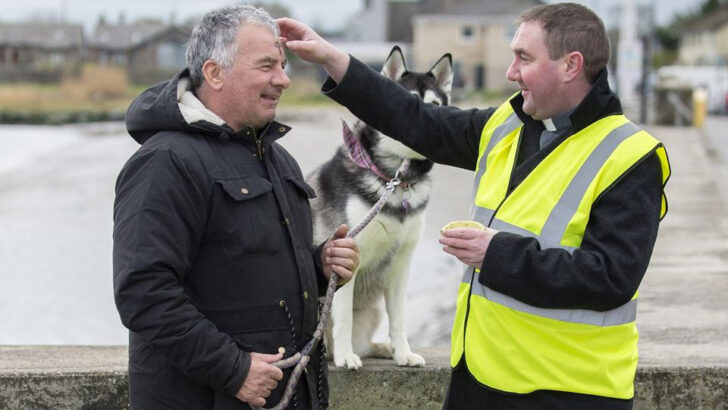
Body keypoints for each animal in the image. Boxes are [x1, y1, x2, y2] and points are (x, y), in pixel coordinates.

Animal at [306, 46, 452, 370]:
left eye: (436, 105)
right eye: (411, 104)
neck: (397, 182)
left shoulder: (401, 263)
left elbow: (398, 318)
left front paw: (403, 353)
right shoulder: (347, 255)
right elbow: (343, 318)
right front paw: (345, 357)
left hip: (372, 311)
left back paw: (382, 348)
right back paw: (337, 352)